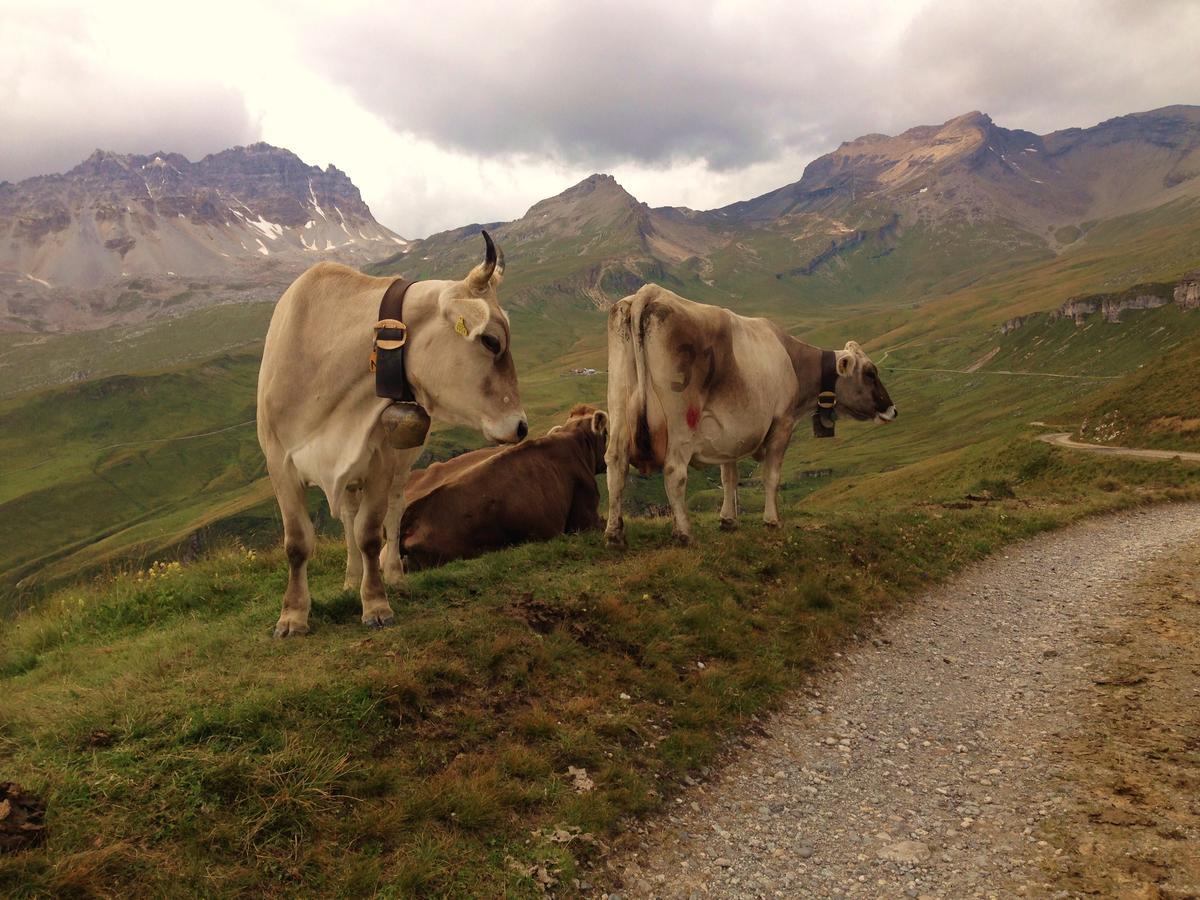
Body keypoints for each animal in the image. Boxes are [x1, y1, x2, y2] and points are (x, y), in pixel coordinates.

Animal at [255, 234, 523, 643]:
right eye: (491, 341)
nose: (521, 426)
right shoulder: (279, 462)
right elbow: (298, 542)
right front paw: (292, 617)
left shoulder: (380, 461)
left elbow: (370, 533)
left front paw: (377, 605)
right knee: (348, 514)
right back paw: (351, 578)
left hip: (401, 463)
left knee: (393, 512)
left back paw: (394, 575)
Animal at [604, 285, 897, 547]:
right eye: (870, 373)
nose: (892, 409)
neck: (791, 358)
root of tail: (651, 292)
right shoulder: (782, 423)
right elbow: (771, 476)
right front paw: (772, 520)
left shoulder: (727, 433)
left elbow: (729, 476)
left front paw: (728, 520)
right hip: (679, 422)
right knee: (675, 471)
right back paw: (684, 533)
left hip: (618, 406)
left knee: (616, 463)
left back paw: (614, 534)